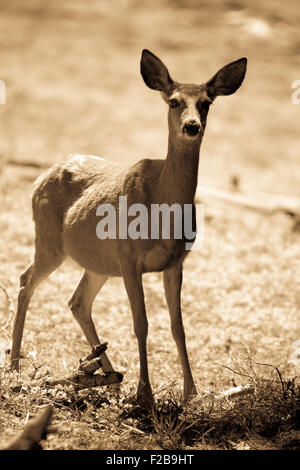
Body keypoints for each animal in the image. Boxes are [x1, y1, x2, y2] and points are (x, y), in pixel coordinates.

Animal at [10, 49, 247, 406]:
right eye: (174, 101)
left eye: (207, 102)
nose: (192, 126)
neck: (163, 206)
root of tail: (41, 177)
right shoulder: (129, 257)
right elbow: (141, 323)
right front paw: (144, 393)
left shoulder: (175, 262)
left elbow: (178, 326)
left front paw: (191, 393)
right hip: (50, 241)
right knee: (27, 280)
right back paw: (14, 368)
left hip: (98, 263)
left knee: (77, 301)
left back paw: (110, 379)